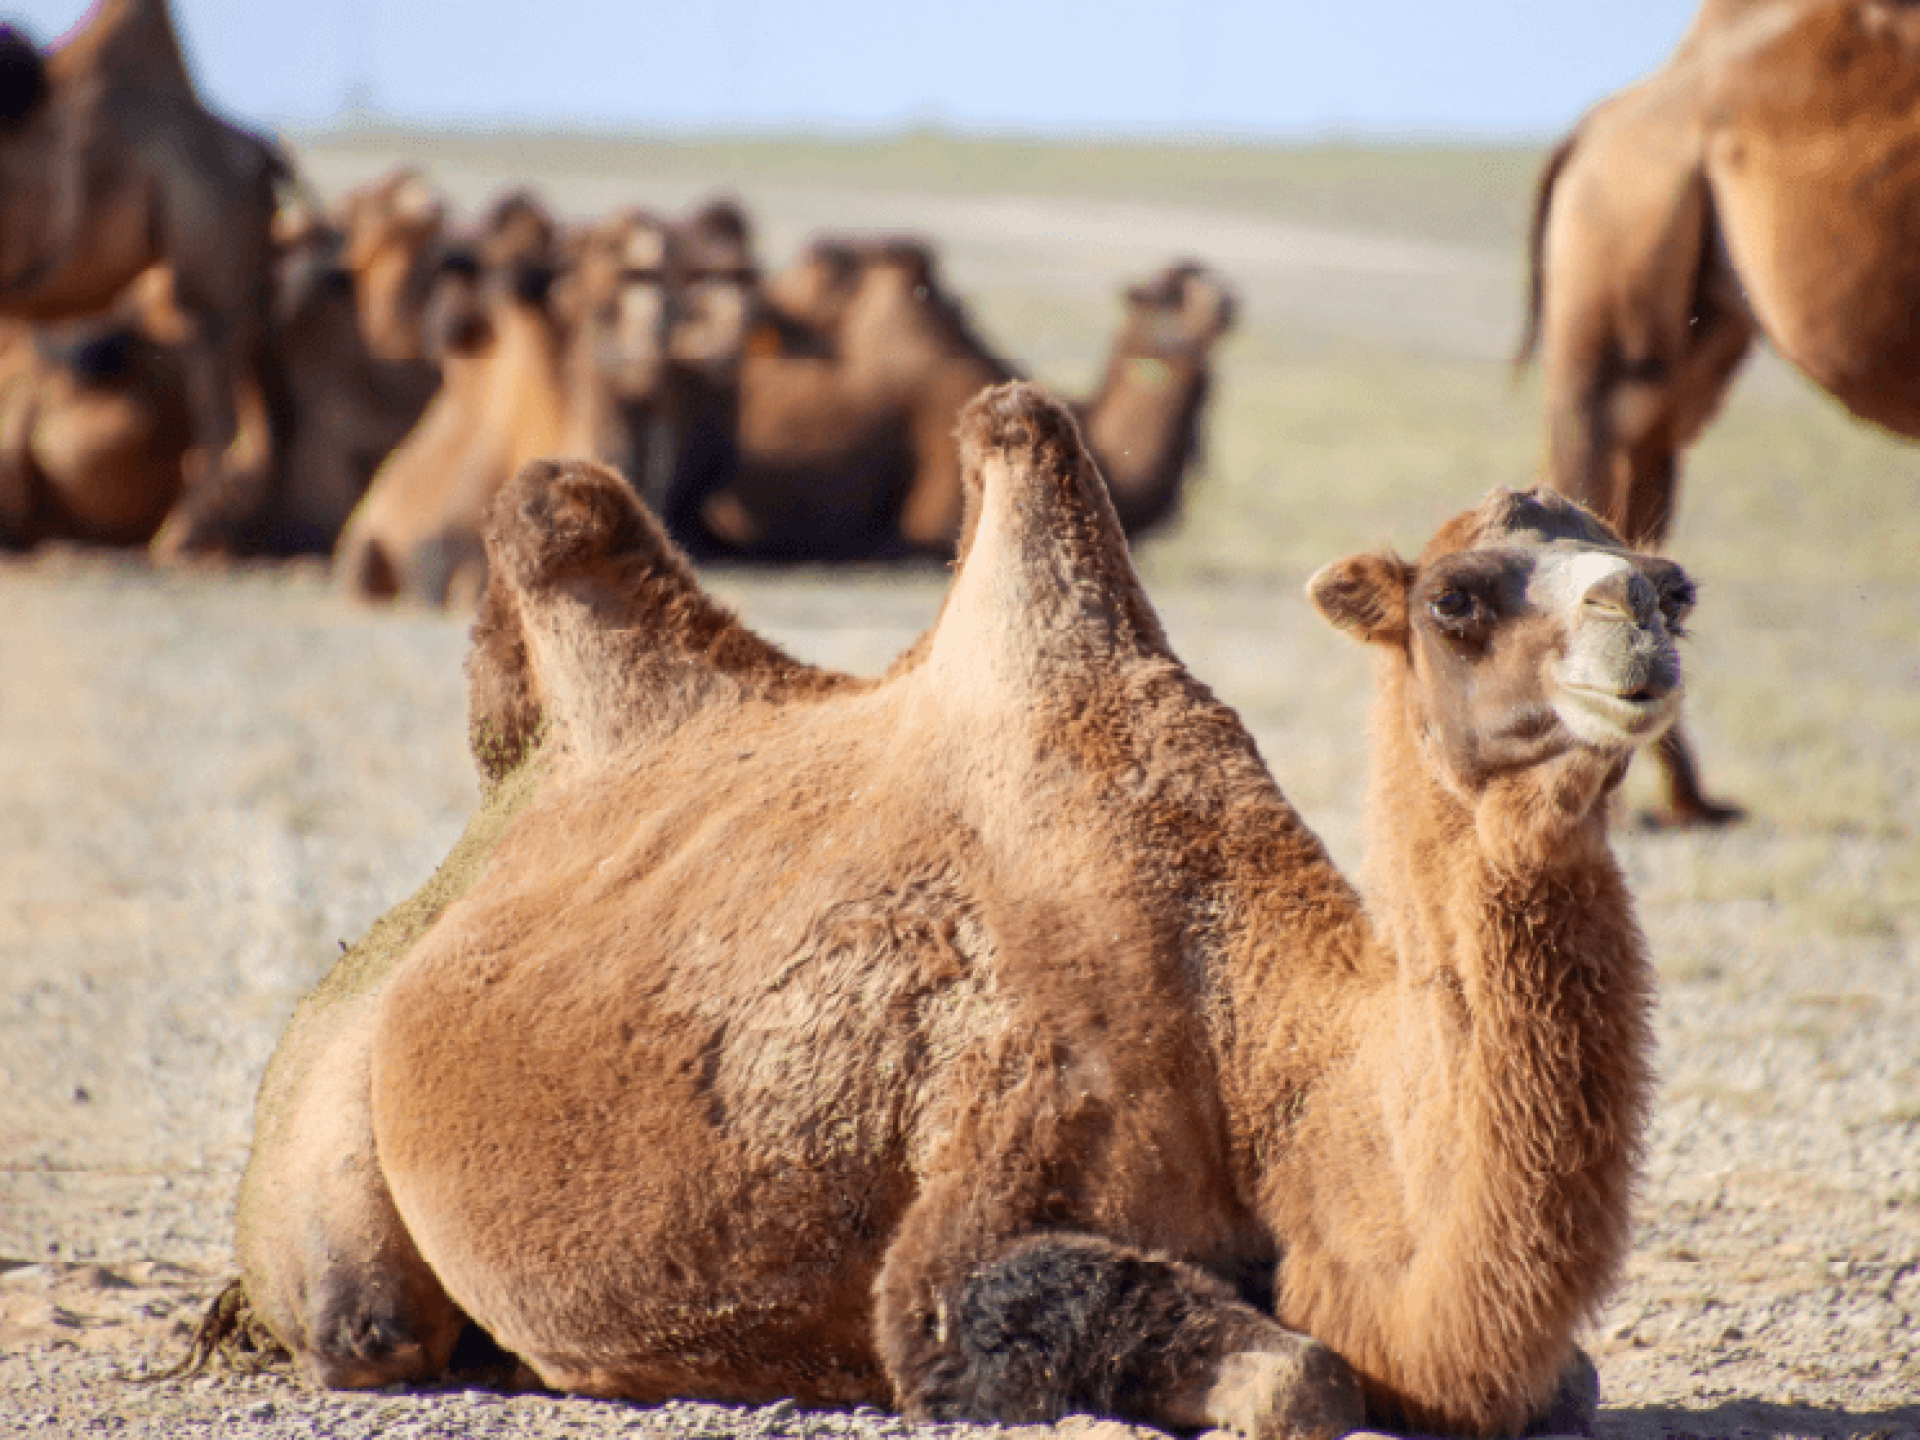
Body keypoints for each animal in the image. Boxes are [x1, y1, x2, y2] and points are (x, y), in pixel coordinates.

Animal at [222, 379, 1682, 1438]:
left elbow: (1561, 1383)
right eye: (1454, 599)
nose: (1643, 625)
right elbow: (1287, 1379)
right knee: (366, 1323)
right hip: (325, 1152)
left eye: (1673, 580)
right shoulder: (995, 1176)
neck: (1260, 1047)